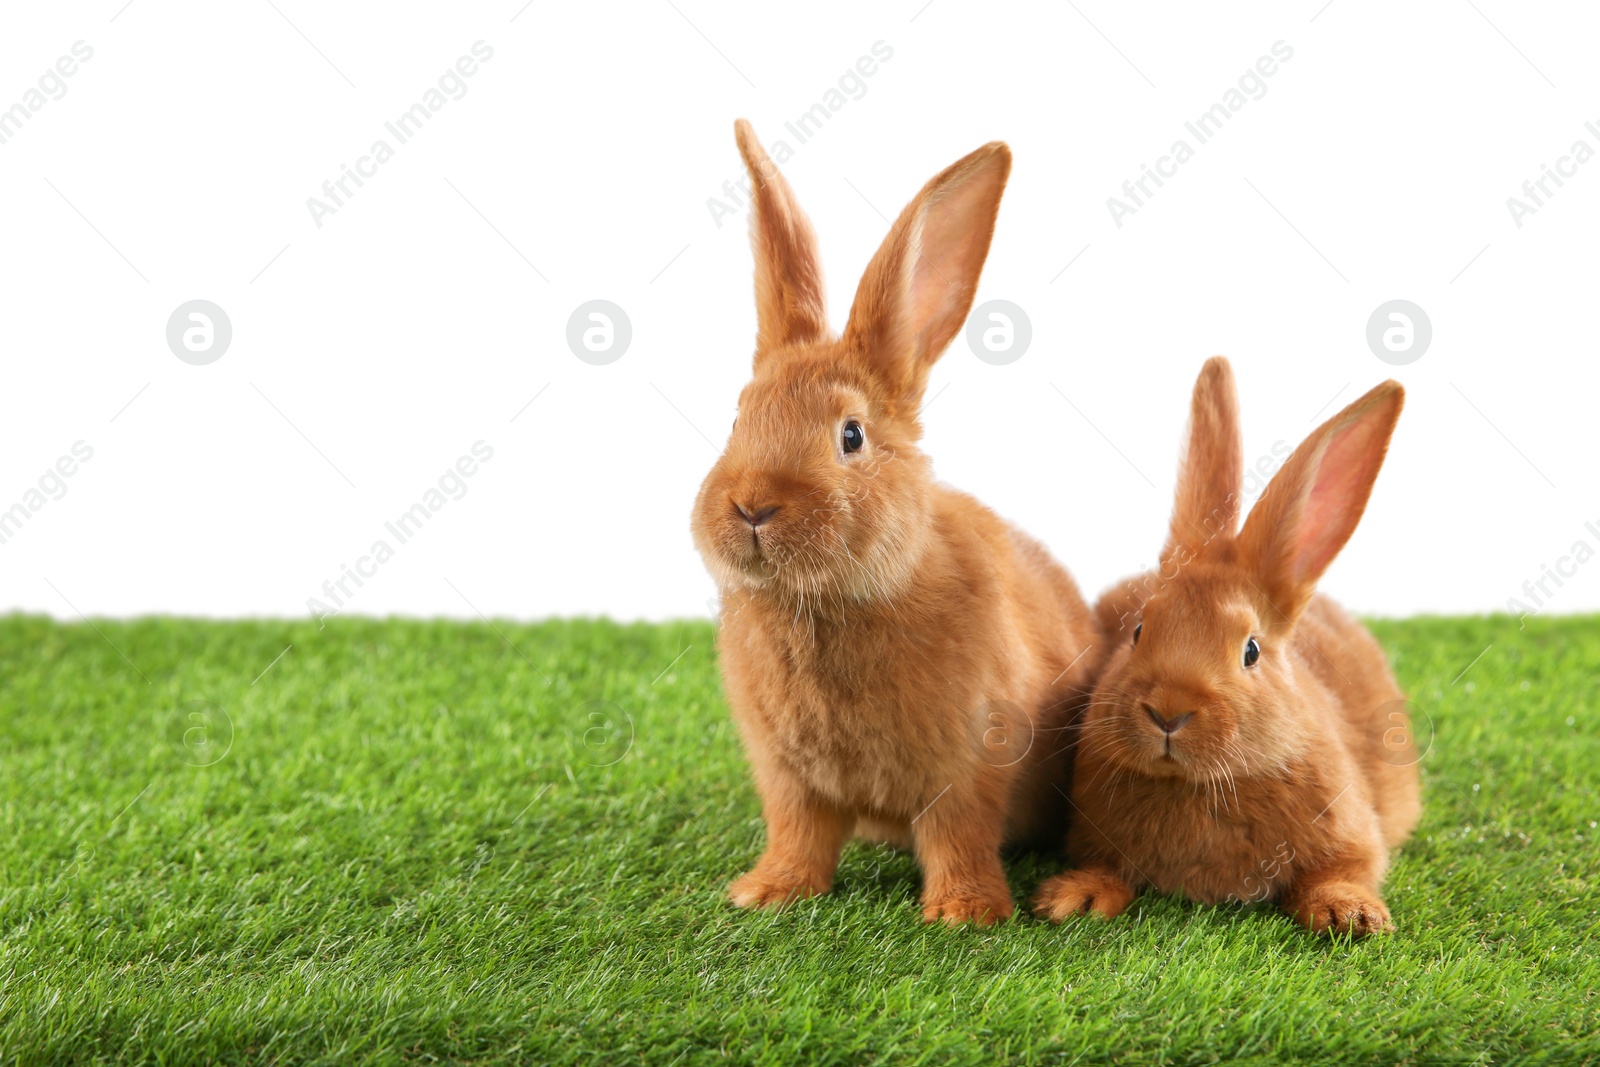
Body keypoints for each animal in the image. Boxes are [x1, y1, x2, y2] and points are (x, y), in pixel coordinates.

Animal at [694, 120, 1107, 927]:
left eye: (851, 436)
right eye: (737, 418)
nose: (752, 506)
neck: (823, 605)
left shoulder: (970, 765)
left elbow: (958, 834)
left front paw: (964, 913)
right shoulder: (788, 778)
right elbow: (798, 833)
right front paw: (768, 892)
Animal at [1036, 358, 1427, 934]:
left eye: (1251, 651)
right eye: (1138, 631)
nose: (1168, 712)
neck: (1200, 783)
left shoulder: (1353, 835)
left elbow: (1343, 871)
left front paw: (1351, 915)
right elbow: (1105, 868)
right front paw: (1073, 898)